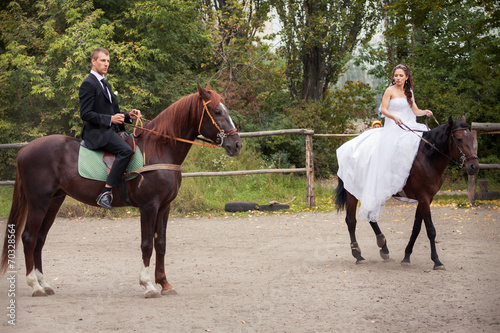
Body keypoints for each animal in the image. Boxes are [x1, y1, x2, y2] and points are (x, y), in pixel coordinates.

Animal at [0, 84, 242, 296]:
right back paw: (35, 286)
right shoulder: (149, 206)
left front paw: (164, 283)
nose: (237, 145)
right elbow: (147, 244)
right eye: (217, 111)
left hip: (54, 201)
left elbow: (161, 244)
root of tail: (25, 150)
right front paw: (148, 285)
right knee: (29, 238)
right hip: (38, 202)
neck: (158, 149)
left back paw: (45, 283)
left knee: (40, 239)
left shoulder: (165, 207)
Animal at [336, 115, 480, 268]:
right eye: (459, 139)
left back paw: (383, 246)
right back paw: (357, 254)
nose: (474, 166)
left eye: (471, 137)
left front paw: (406, 256)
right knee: (351, 220)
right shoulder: (423, 197)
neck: (427, 158)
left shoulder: (427, 198)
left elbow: (416, 227)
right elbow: (430, 229)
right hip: (352, 192)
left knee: (370, 216)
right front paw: (436, 260)